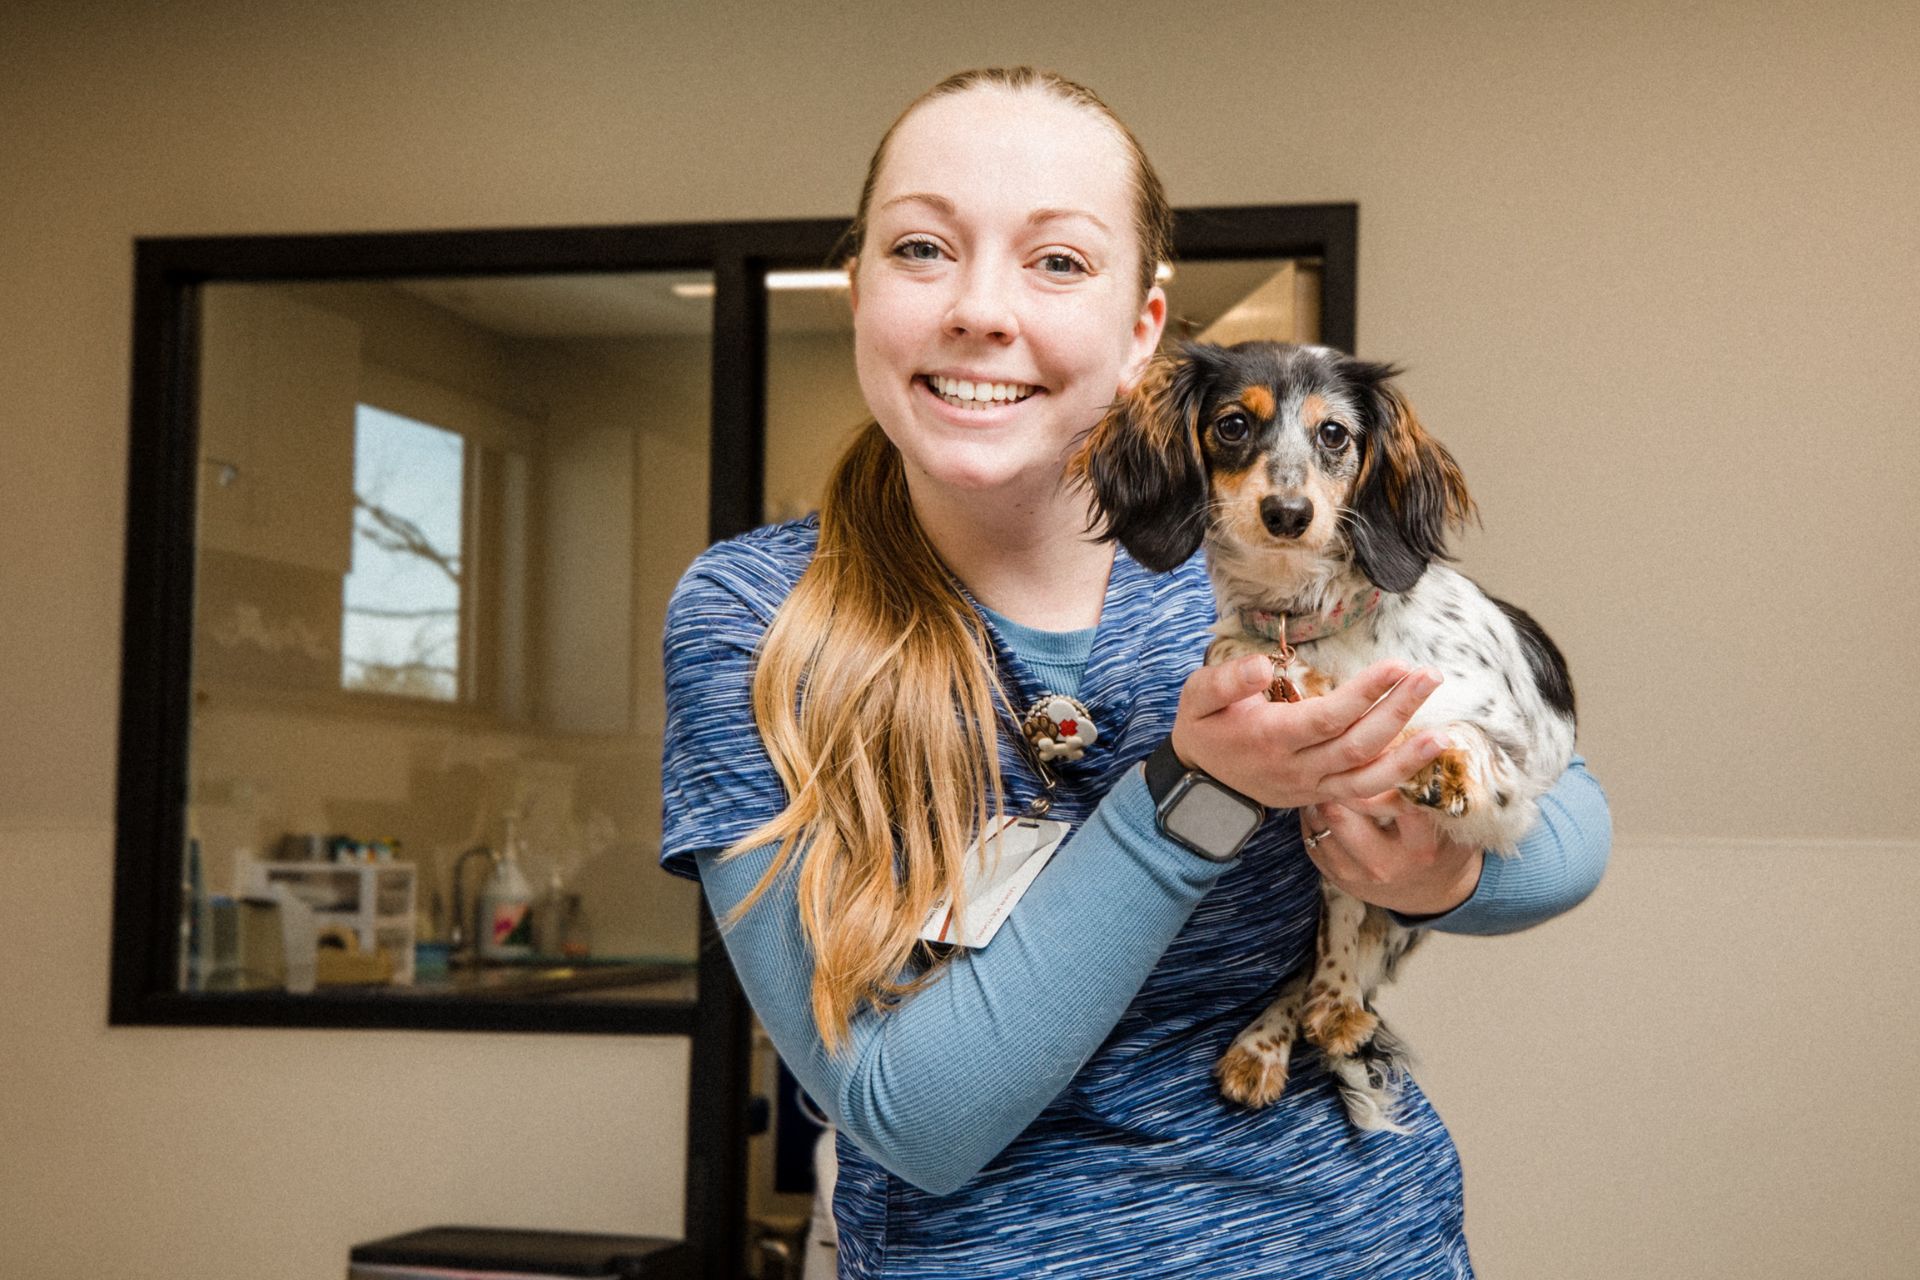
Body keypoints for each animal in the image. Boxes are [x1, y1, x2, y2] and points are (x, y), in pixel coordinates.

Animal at [1067, 339, 1574, 1128]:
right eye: (1233, 425)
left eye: (1334, 434)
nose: (1287, 512)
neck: (1320, 624)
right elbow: (1235, 650)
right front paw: (1289, 678)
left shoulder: (1516, 767)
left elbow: (1462, 737)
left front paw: (1440, 762)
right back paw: (1281, 1032)